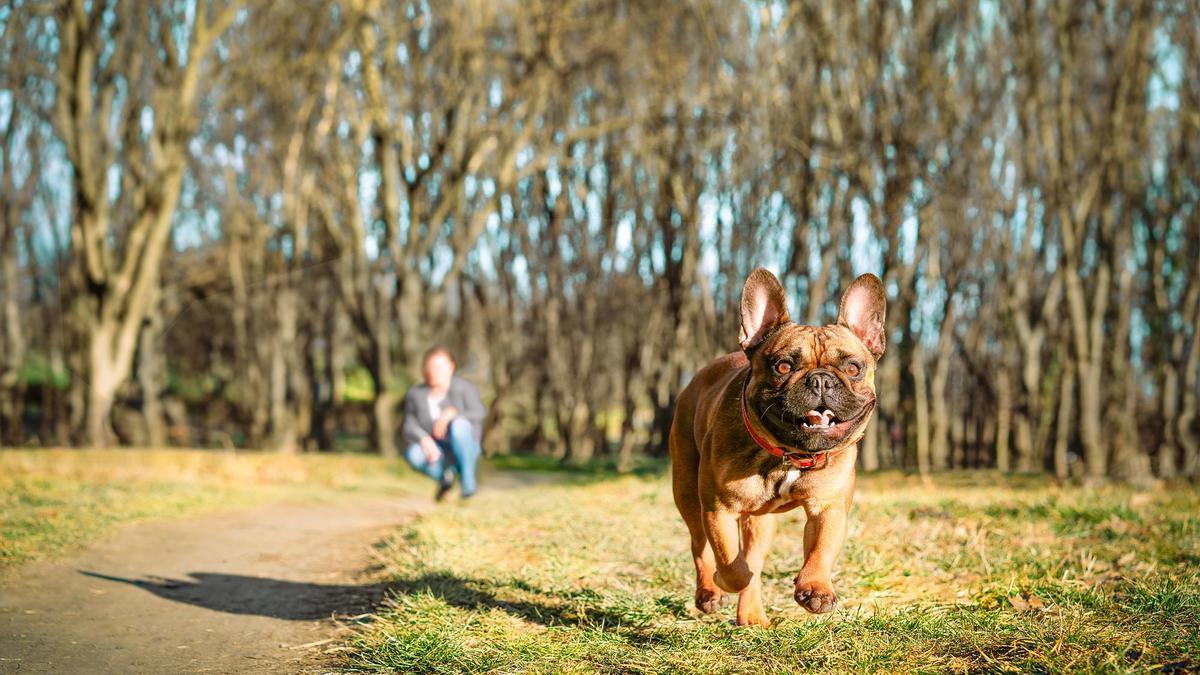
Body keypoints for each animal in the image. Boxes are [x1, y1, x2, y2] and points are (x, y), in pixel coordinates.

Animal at [672, 267, 888, 624]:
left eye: (852, 368)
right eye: (783, 366)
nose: (820, 379)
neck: (790, 455)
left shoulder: (828, 508)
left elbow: (820, 548)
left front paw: (816, 588)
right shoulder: (718, 510)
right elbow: (732, 564)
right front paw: (725, 579)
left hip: (761, 521)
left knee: (753, 555)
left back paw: (752, 615)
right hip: (688, 494)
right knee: (701, 546)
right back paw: (710, 592)